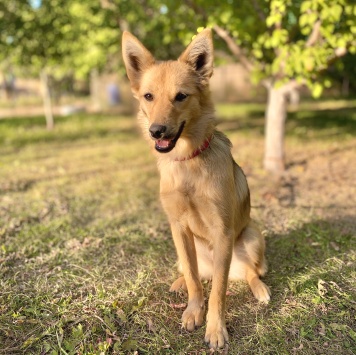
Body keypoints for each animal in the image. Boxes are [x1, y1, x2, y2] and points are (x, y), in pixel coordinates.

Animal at [122, 27, 270, 350]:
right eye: (149, 96)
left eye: (181, 96)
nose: (157, 131)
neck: (188, 161)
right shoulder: (177, 227)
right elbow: (193, 278)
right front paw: (193, 310)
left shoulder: (222, 230)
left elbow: (218, 292)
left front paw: (215, 329)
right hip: (182, 249)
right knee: (194, 272)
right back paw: (178, 284)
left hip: (252, 235)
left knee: (249, 272)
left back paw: (259, 288)